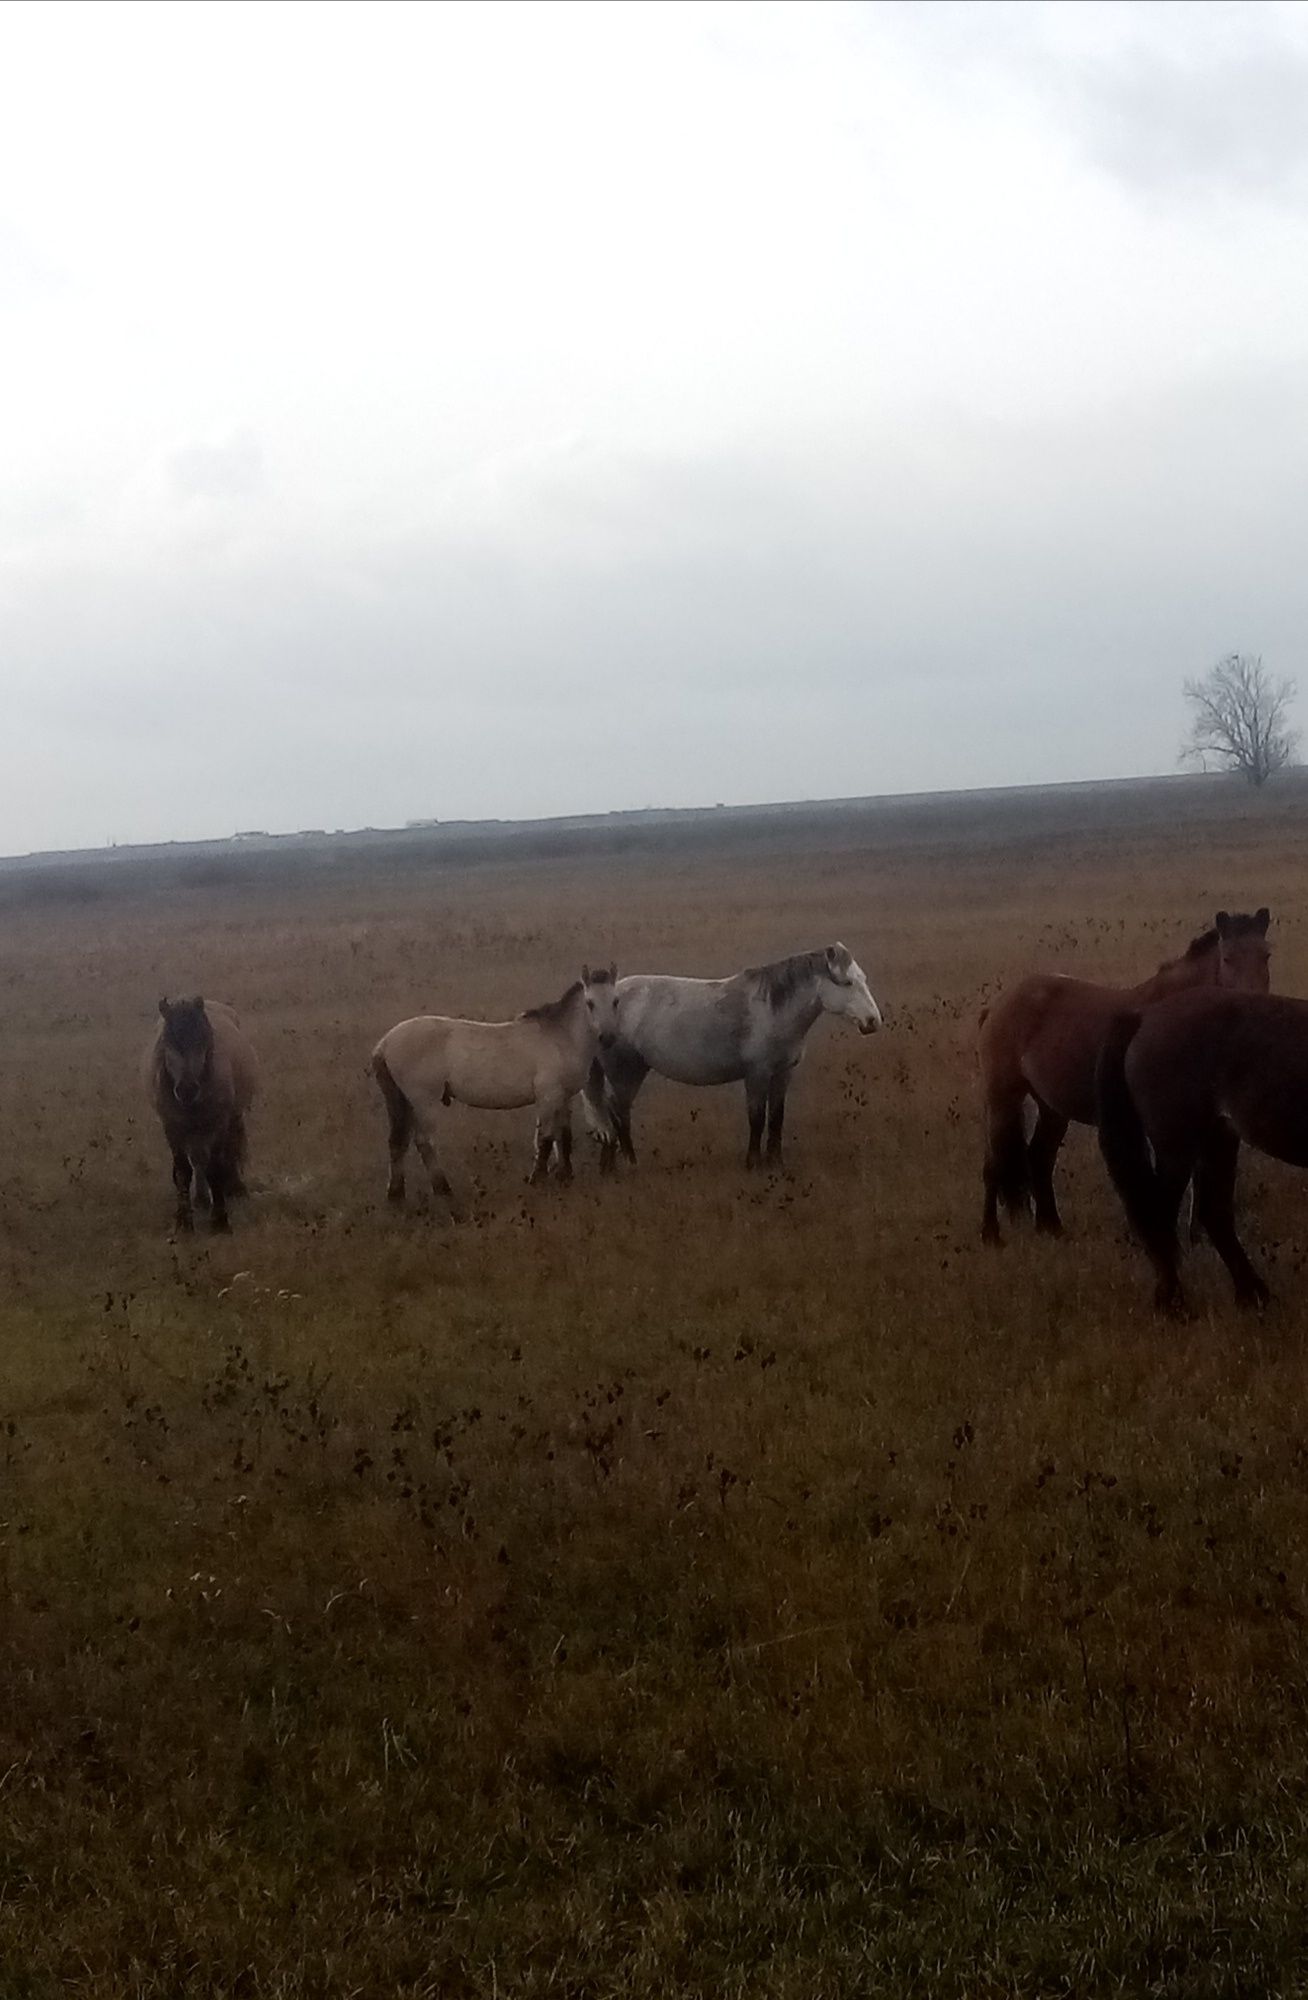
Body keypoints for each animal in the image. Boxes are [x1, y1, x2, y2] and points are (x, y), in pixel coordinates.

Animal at [146, 992, 258, 1224]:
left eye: (202, 1041)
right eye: (167, 1042)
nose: (187, 1089)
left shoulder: (219, 1123)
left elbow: (216, 1167)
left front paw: (220, 1220)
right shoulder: (173, 1127)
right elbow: (183, 1171)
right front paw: (183, 1220)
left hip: (230, 1119)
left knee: (229, 1150)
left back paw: (234, 1188)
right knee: (199, 1159)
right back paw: (202, 1198)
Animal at [580, 940, 880, 1168]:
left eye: (864, 979)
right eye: (847, 983)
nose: (873, 1021)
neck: (772, 1009)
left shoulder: (783, 1074)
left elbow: (777, 1118)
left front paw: (776, 1163)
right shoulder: (757, 1075)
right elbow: (757, 1118)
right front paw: (753, 1163)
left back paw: (609, 1166)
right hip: (625, 1072)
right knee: (617, 1112)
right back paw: (629, 1162)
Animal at [980, 912, 1280, 1248]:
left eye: (1266, 955)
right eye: (1227, 958)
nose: (1255, 1007)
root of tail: (997, 1005)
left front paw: (1196, 1237)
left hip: (1052, 1108)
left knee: (1039, 1159)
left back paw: (1052, 1228)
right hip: (1002, 1100)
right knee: (993, 1163)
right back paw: (991, 1235)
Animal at [1096, 988, 1308, 1312]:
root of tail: (1144, 1015)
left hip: (1217, 1138)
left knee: (1214, 1214)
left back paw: (1253, 1295)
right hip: (1178, 1148)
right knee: (1161, 1216)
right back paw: (1174, 1305)